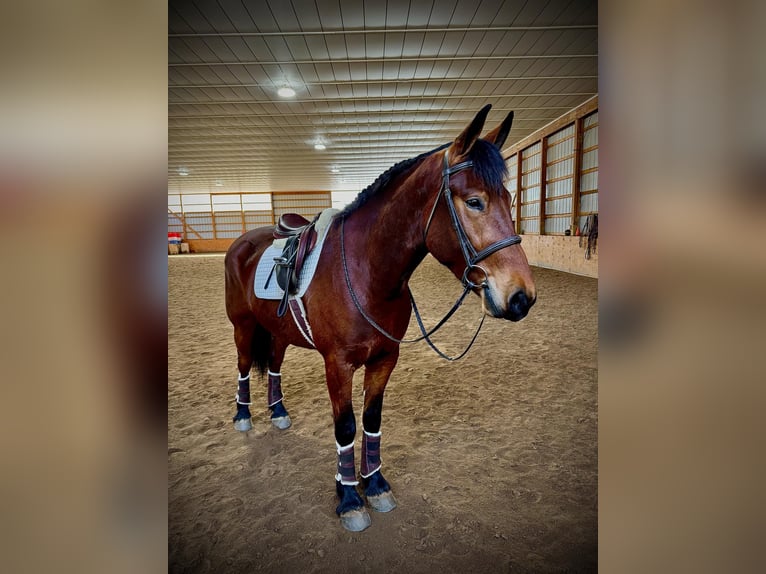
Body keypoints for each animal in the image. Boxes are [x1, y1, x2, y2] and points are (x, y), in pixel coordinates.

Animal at [224, 104, 537, 532]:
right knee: (243, 366)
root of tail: (243, 241)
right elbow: (345, 425)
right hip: (242, 327)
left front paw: (373, 485)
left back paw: (279, 412)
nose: (521, 297)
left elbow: (371, 420)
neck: (366, 271)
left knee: (273, 364)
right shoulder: (338, 365)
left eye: (509, 197)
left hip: (278, 331)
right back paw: (243, 416)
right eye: (474, 202)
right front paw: (349, 498)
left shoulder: (386, 358)